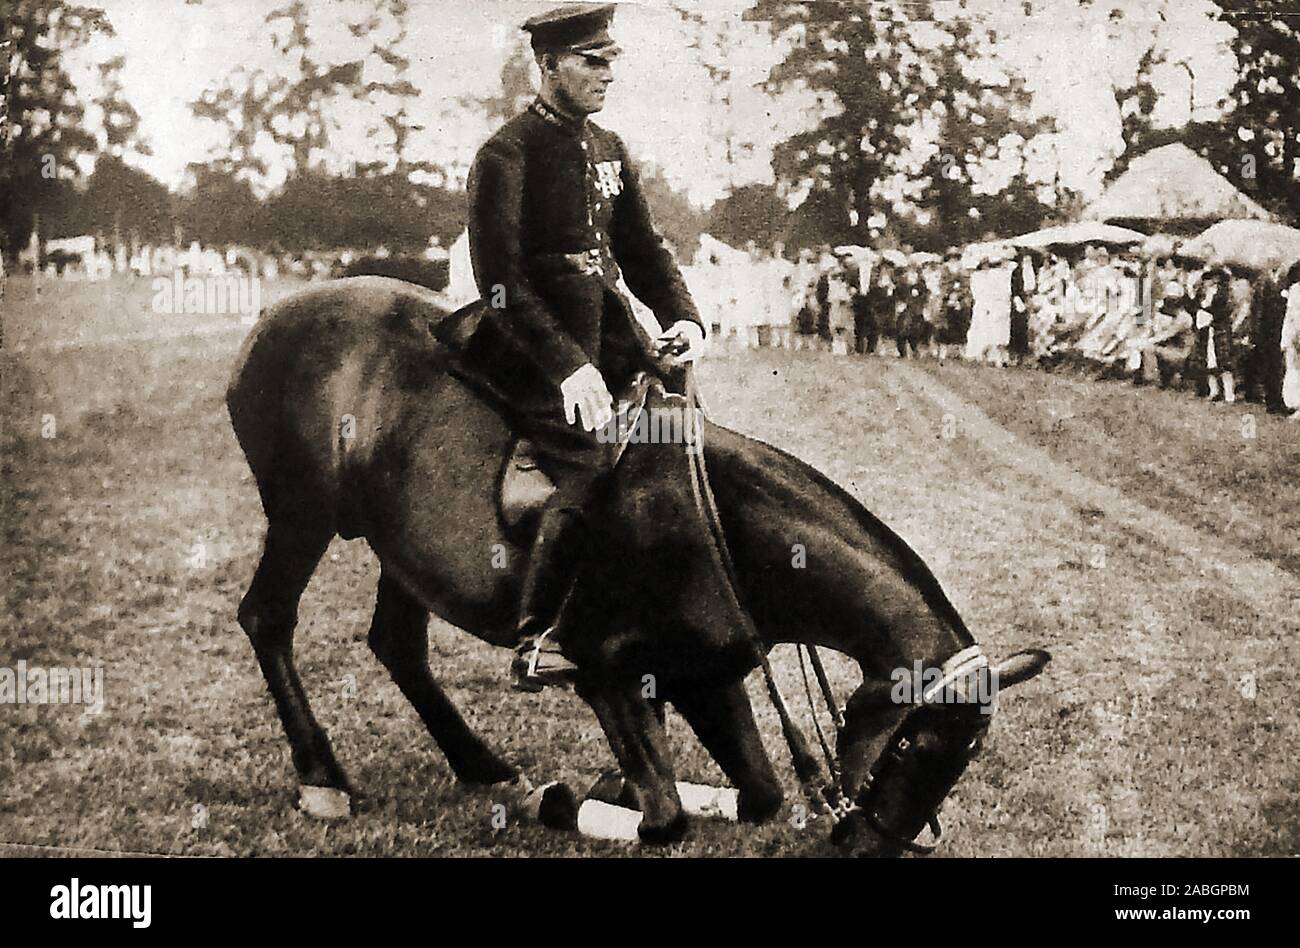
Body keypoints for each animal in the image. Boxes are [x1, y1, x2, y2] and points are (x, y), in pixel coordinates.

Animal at [228, 275, 1050, 853]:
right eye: (913, 742)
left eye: (966, 756)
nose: (869, 847)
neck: (720, 525)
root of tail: (273, 315)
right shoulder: (605, 676)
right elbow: (665, 818)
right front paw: (566, 799)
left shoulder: (702, 677)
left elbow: (759, 795)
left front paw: (615, 785)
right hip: (301, 515)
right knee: (267, 617)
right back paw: (323, 778)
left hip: (401, 550)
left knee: (397, 644)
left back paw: (480, 765)